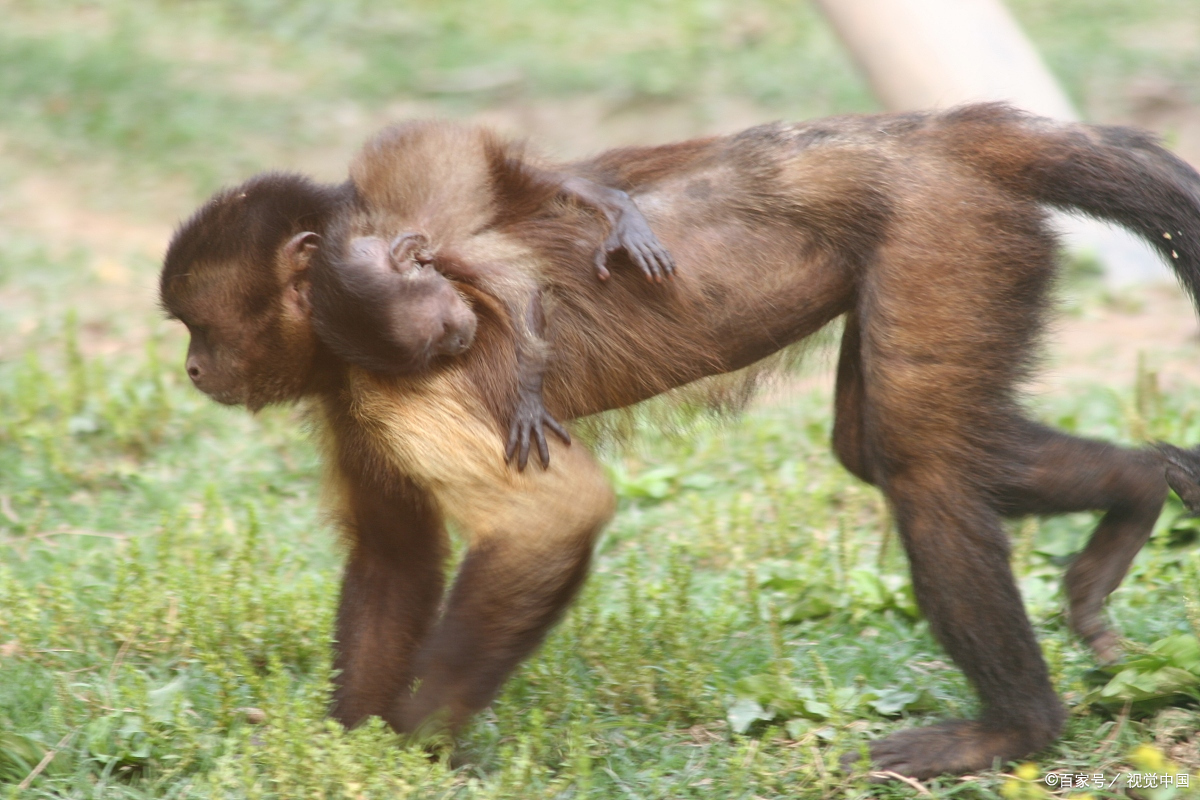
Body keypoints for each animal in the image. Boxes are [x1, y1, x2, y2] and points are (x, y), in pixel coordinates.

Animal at [159, 103, 1200, 777]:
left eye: (197, 327)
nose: (195, 370)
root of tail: (930, 130)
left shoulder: (404, 374)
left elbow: (555, 517)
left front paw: (419, 746)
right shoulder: (356, 390)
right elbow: (394, 554)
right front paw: (355, 749)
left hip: (941, 225)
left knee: (919, 464)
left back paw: (1017, 731)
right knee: (875, 445)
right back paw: (1139, 487)